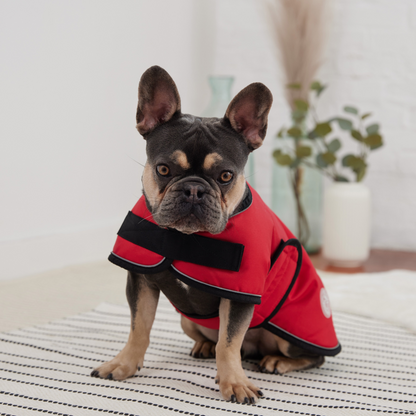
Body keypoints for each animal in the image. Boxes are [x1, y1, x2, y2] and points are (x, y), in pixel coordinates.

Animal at [89, 66, 340, 404]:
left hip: (292, 336)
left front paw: (234, 382)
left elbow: (229, 342)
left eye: (225, 176)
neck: (186, 237)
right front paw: (123, 364)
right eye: (163, 169)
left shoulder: (239, 295)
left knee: (311, 356)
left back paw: (277, 361)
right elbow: (138, 327)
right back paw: (205, 346)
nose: (194, 190)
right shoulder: (141, 280)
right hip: (186, 319)